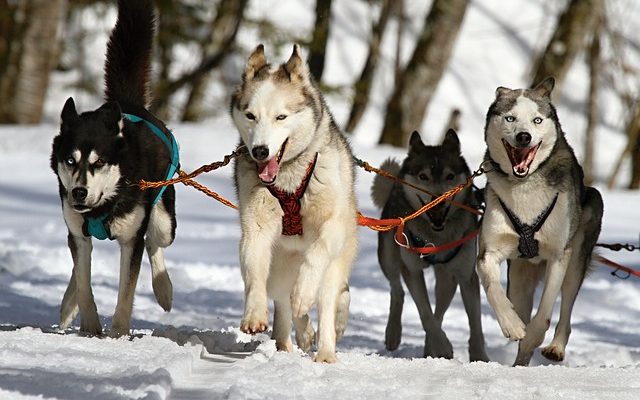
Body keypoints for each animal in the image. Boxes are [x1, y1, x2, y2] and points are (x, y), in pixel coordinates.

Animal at [50, 0, 178, 338]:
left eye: (99, 162)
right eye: (71, 160)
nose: (79, 192)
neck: (103, 206)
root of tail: (128, 105)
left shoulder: (131, 240)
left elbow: (126, 292)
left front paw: (118, 334)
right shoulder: (78, 232)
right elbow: (84, 283)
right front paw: (90, 327)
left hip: (164, 220)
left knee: (155, 242)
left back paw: (164, 288)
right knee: (77, 265)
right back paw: (68, 305)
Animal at [231, 43, 360, 362]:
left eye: (281, 117)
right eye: (250, 115)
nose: (260, 151)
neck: (288, 178)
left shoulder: (332, 226)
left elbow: (317, 255)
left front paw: (303, 293)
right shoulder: (255, 229)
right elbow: (254, 273)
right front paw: (254, 314)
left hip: (335, 265)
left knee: (326, 300)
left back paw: (325, 352)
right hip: (279, 268)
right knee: (283, 303)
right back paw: (289, 341)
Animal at [372, 130, 488, 360]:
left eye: (450, 176)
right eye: (423, 176)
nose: (438, 199)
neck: (436, 237)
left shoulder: (466, 275)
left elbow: (475, 323)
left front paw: (480, 357)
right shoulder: (412, 270)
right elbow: (425, 313)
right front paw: (442, 346)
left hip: (447, 278)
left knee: (440, 309)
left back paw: (429, 348)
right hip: (388, 257)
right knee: (397, 291)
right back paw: (393, 333)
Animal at [478, 77, 604, 366]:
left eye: (537, 120)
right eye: (510, 118)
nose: (524, 136)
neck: (524, 187)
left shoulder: (558, 255)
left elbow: (545, 312)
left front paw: (534, 336)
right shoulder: (489, 252)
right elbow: (493, 289)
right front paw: (512, 325)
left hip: (577, 256)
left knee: (566, 309)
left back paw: (555, 347)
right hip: (519, 277)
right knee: (520, 303)